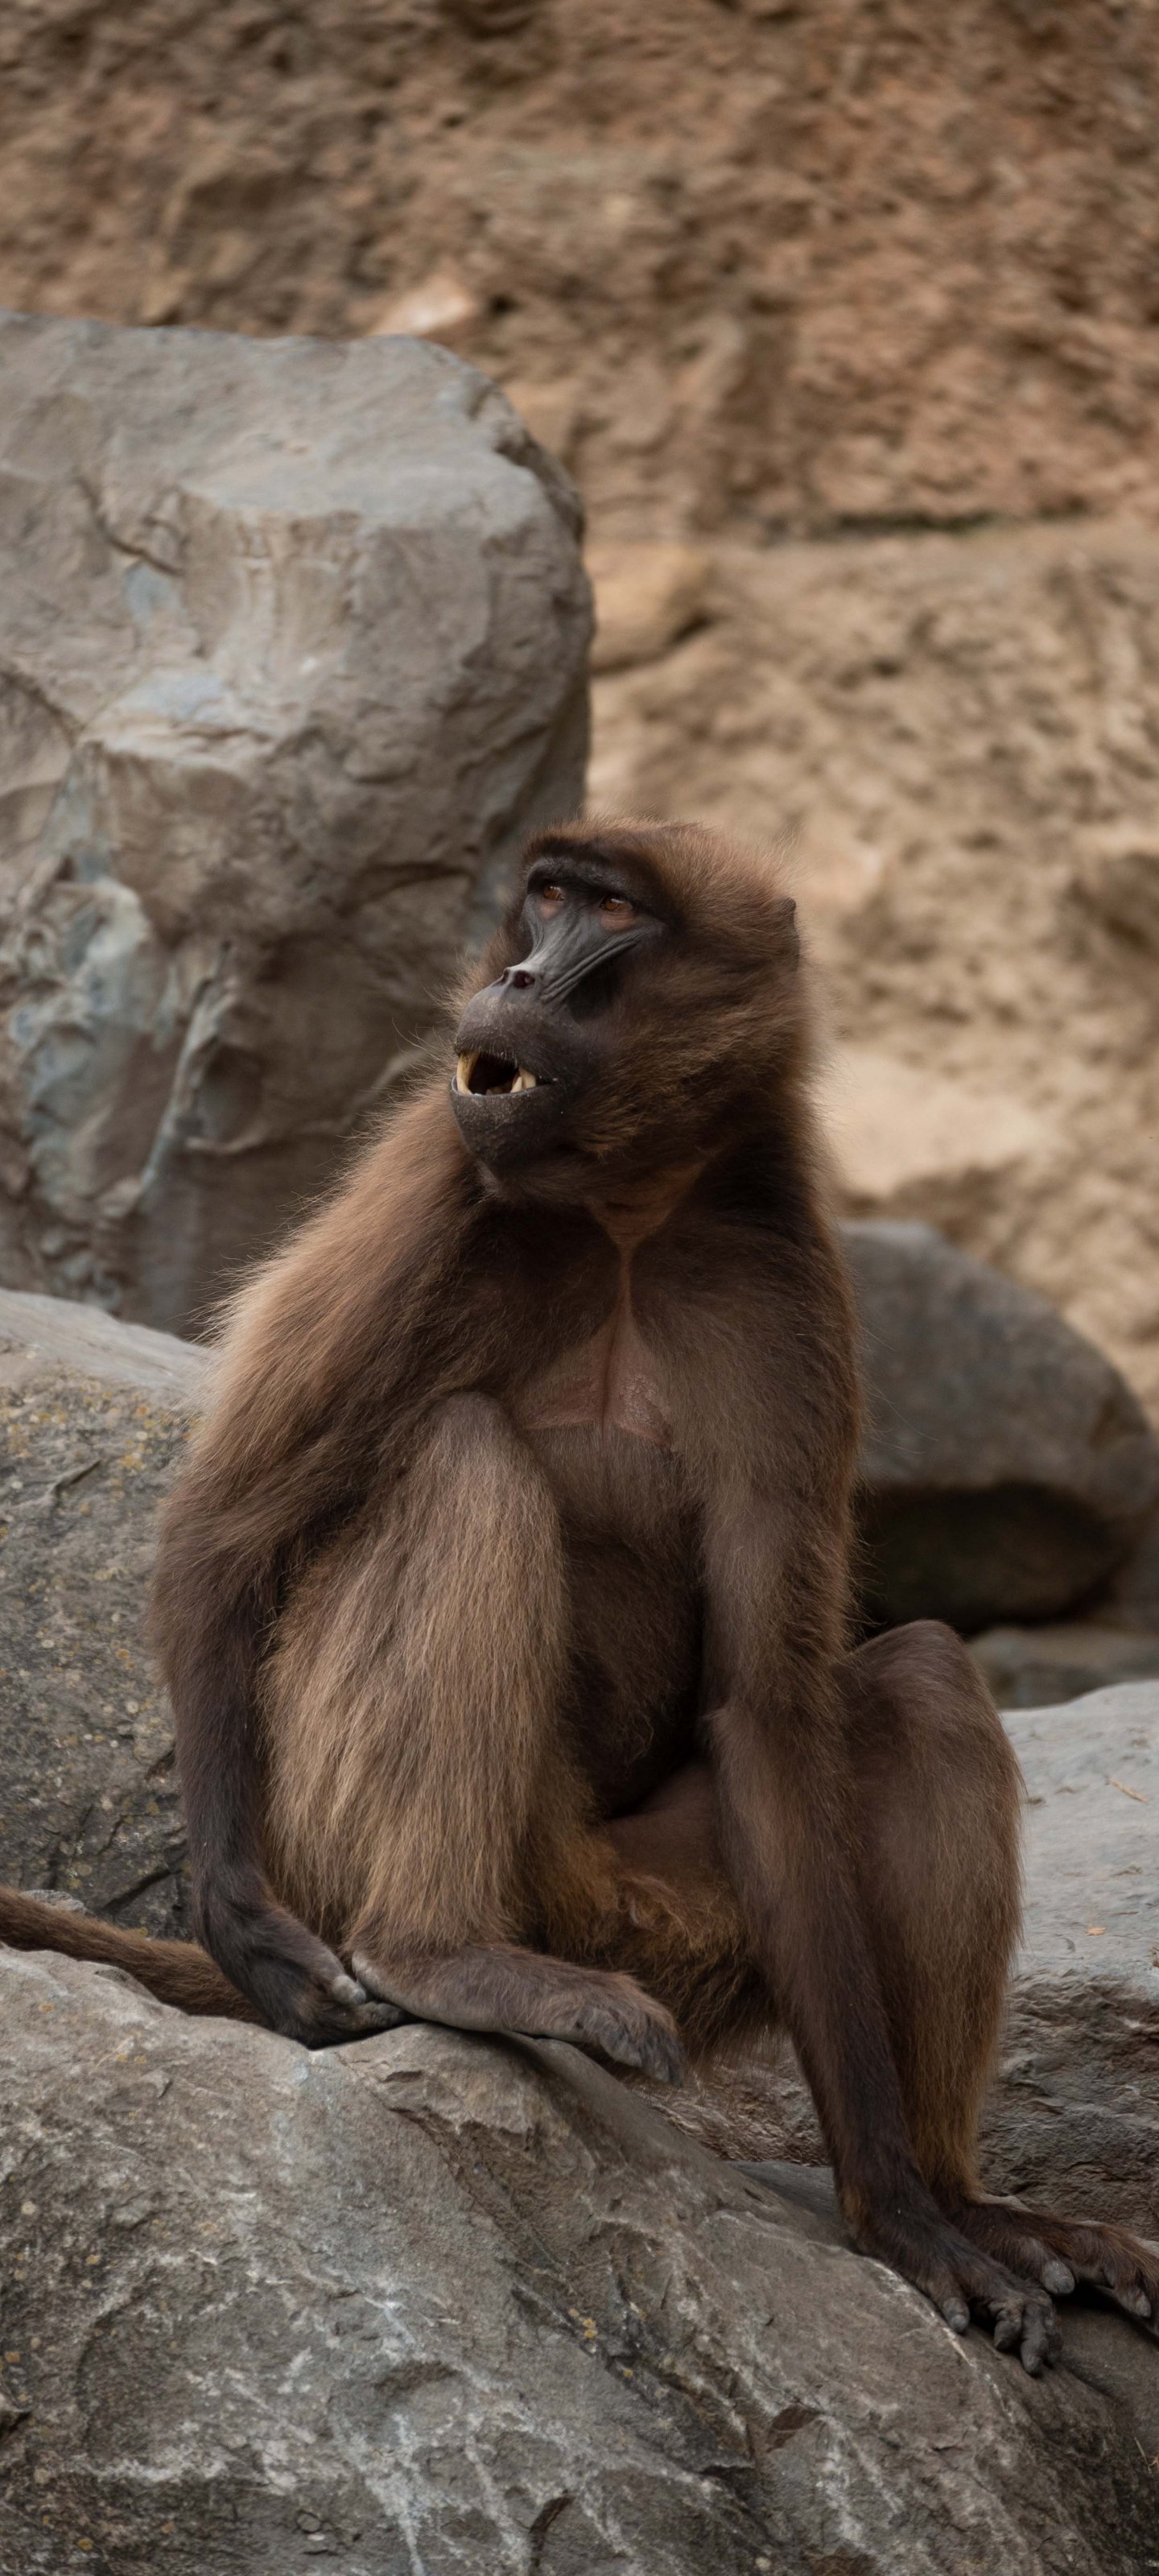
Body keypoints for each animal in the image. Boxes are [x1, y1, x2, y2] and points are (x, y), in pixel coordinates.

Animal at [2, 818, 1156, 2376]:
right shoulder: (434, 1169)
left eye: (608, 914)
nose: (520, 977)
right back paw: (440, 1958)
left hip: (682, 1917)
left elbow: (766, 1709)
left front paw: (903, 2219)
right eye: (545, 897)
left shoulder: (780, 1273)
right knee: (461, 1458)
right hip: (408, 1842)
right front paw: (239, 1924)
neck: (621, 1204)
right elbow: (223, 1535)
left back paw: (966, 2199)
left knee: (918, 1681)